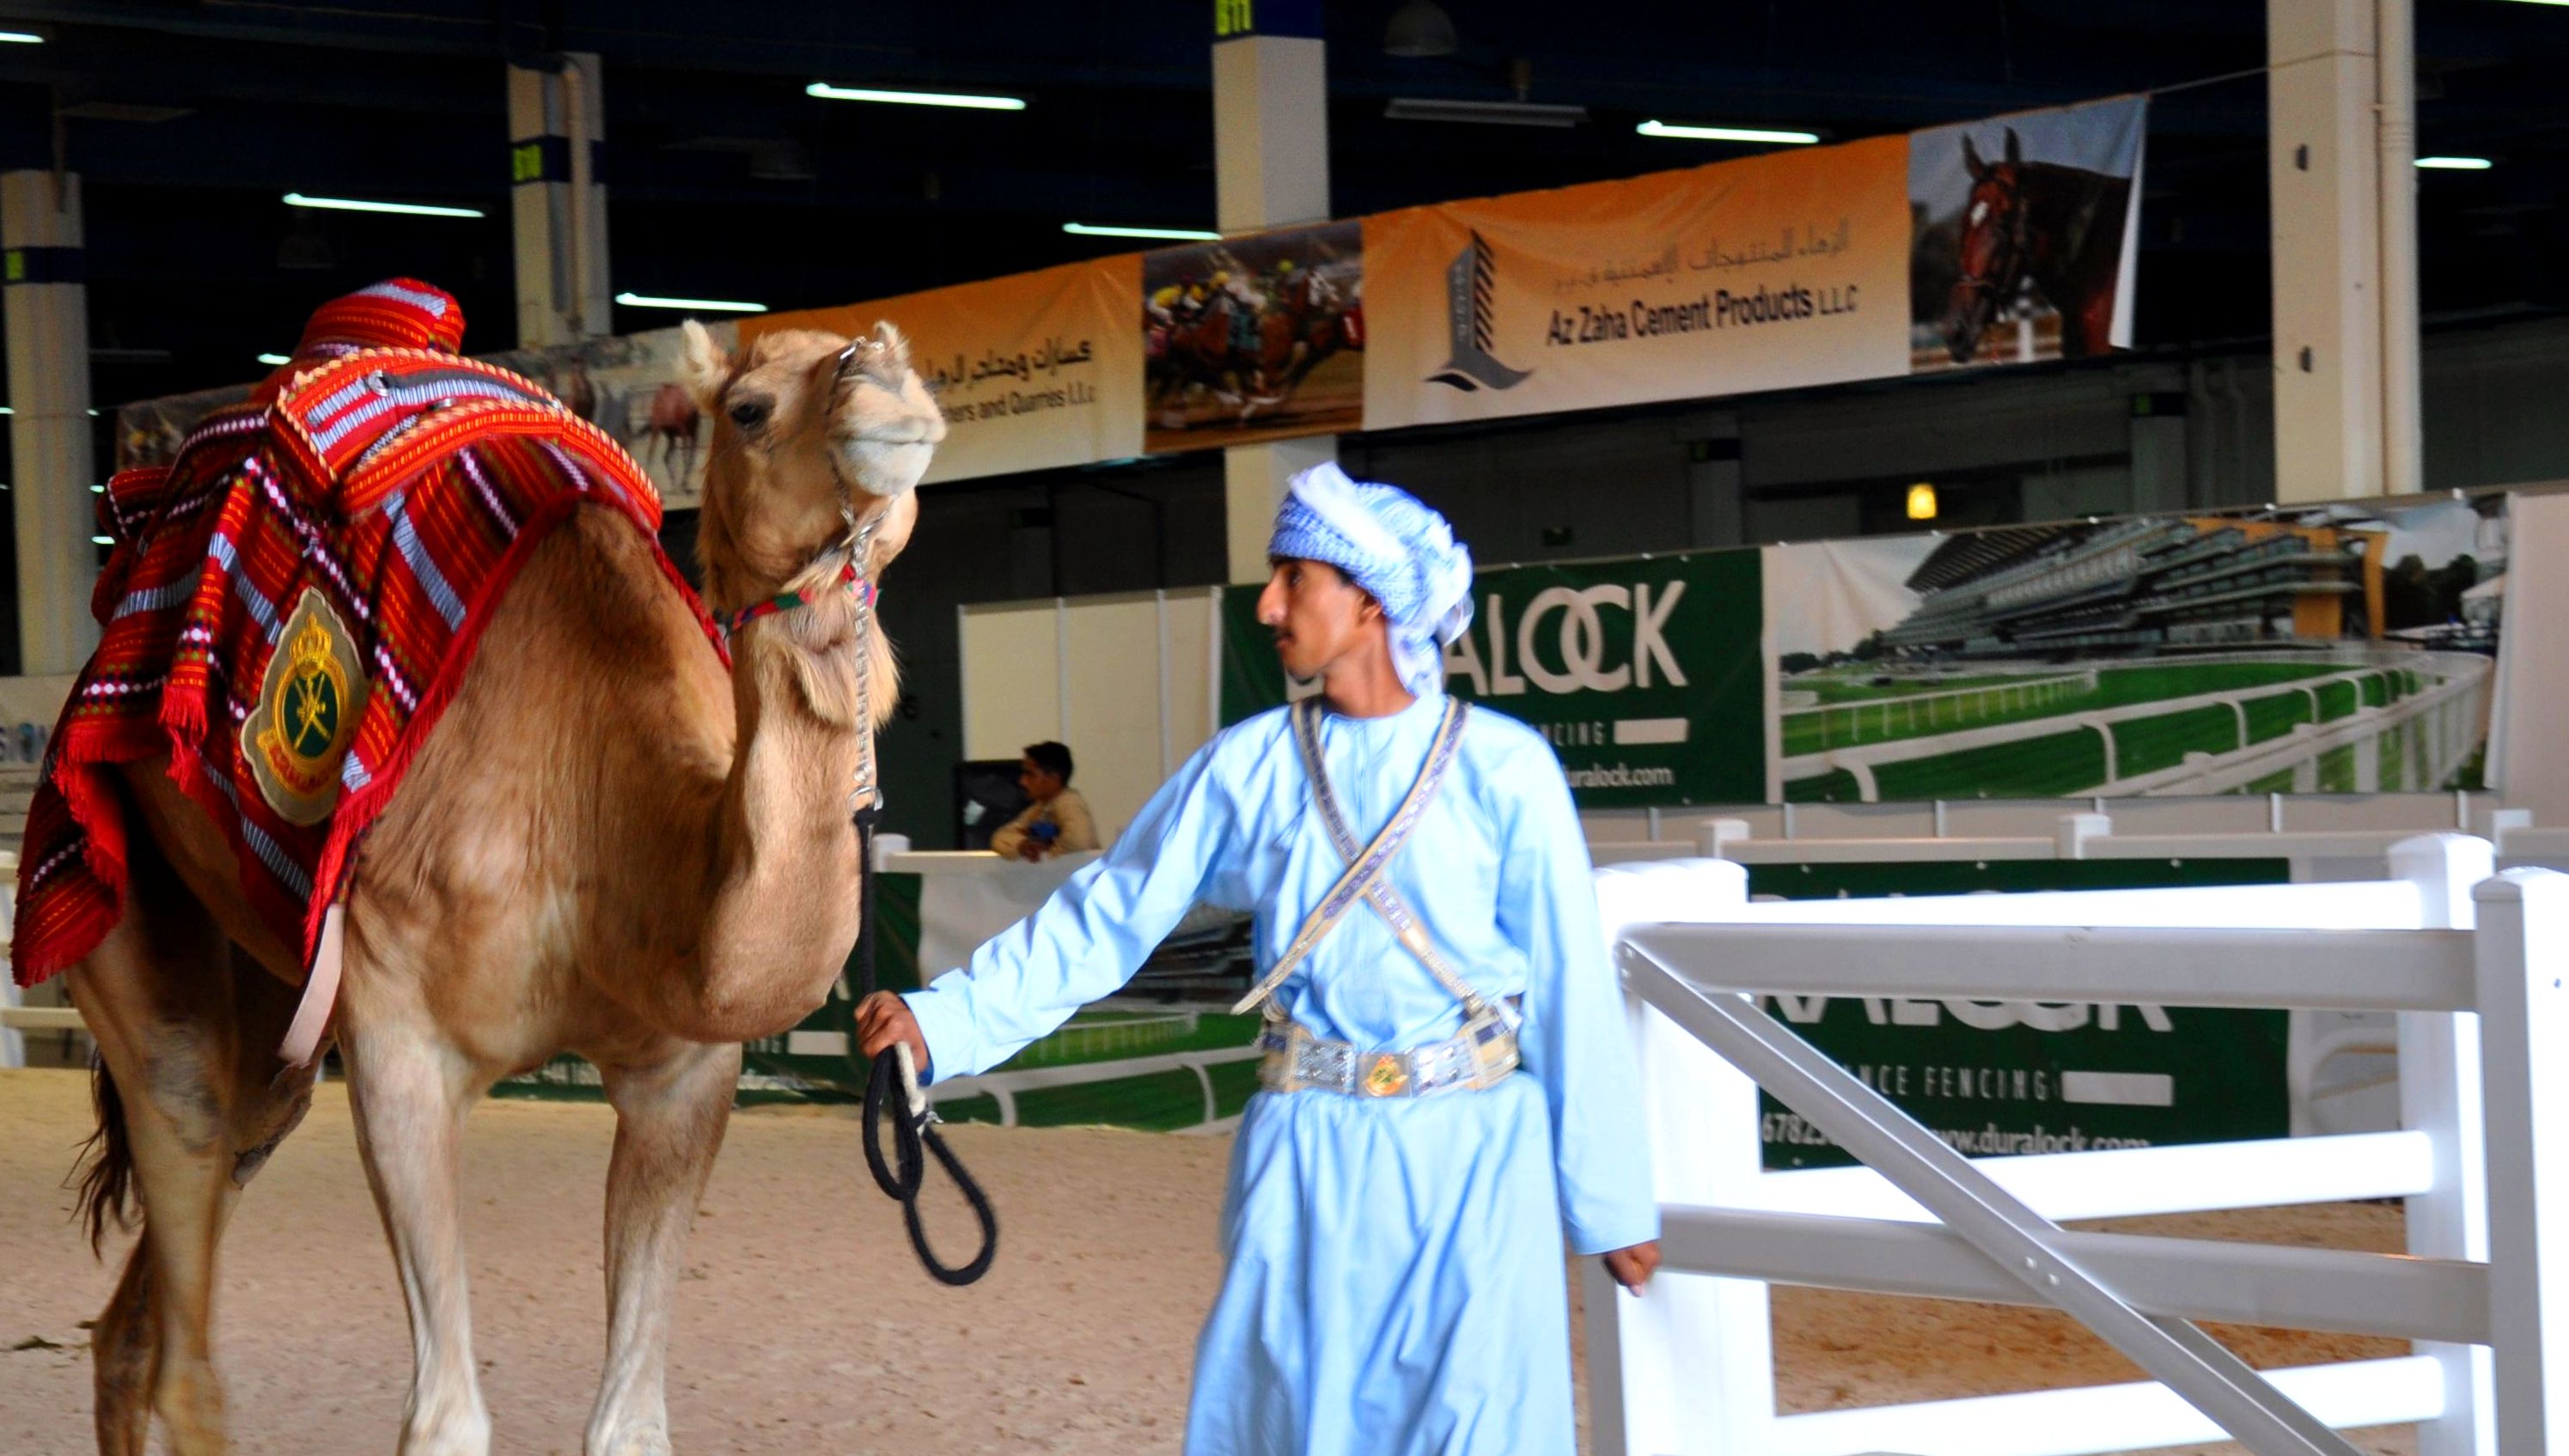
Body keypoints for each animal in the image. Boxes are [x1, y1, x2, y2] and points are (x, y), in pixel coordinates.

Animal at [59, 317, 942, 1456]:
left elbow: (629, 1424)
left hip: (273, 1022)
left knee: (139, 1315)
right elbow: (445, 1418)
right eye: (748, 408)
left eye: (915, 370)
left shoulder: (685, 1074)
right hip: (119, 897)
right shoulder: (401, 1041)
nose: (886, 392)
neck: (600, 808)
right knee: (184, 1246)